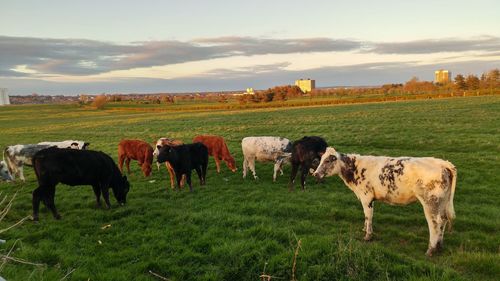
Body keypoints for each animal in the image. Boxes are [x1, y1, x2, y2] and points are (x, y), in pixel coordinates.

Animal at [312, 147, 458, 256]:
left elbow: (368, 215)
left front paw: (368, 235)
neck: (355, 169)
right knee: (443, 220)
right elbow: (367, 216)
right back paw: (439, 246)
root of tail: (443, 163)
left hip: (430, 202)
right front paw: (364, 228)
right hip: (442, 201)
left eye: (328, 160)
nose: (315, 174)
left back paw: (431, 249)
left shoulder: (366, 196)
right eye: (321, 159)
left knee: (435, 223)